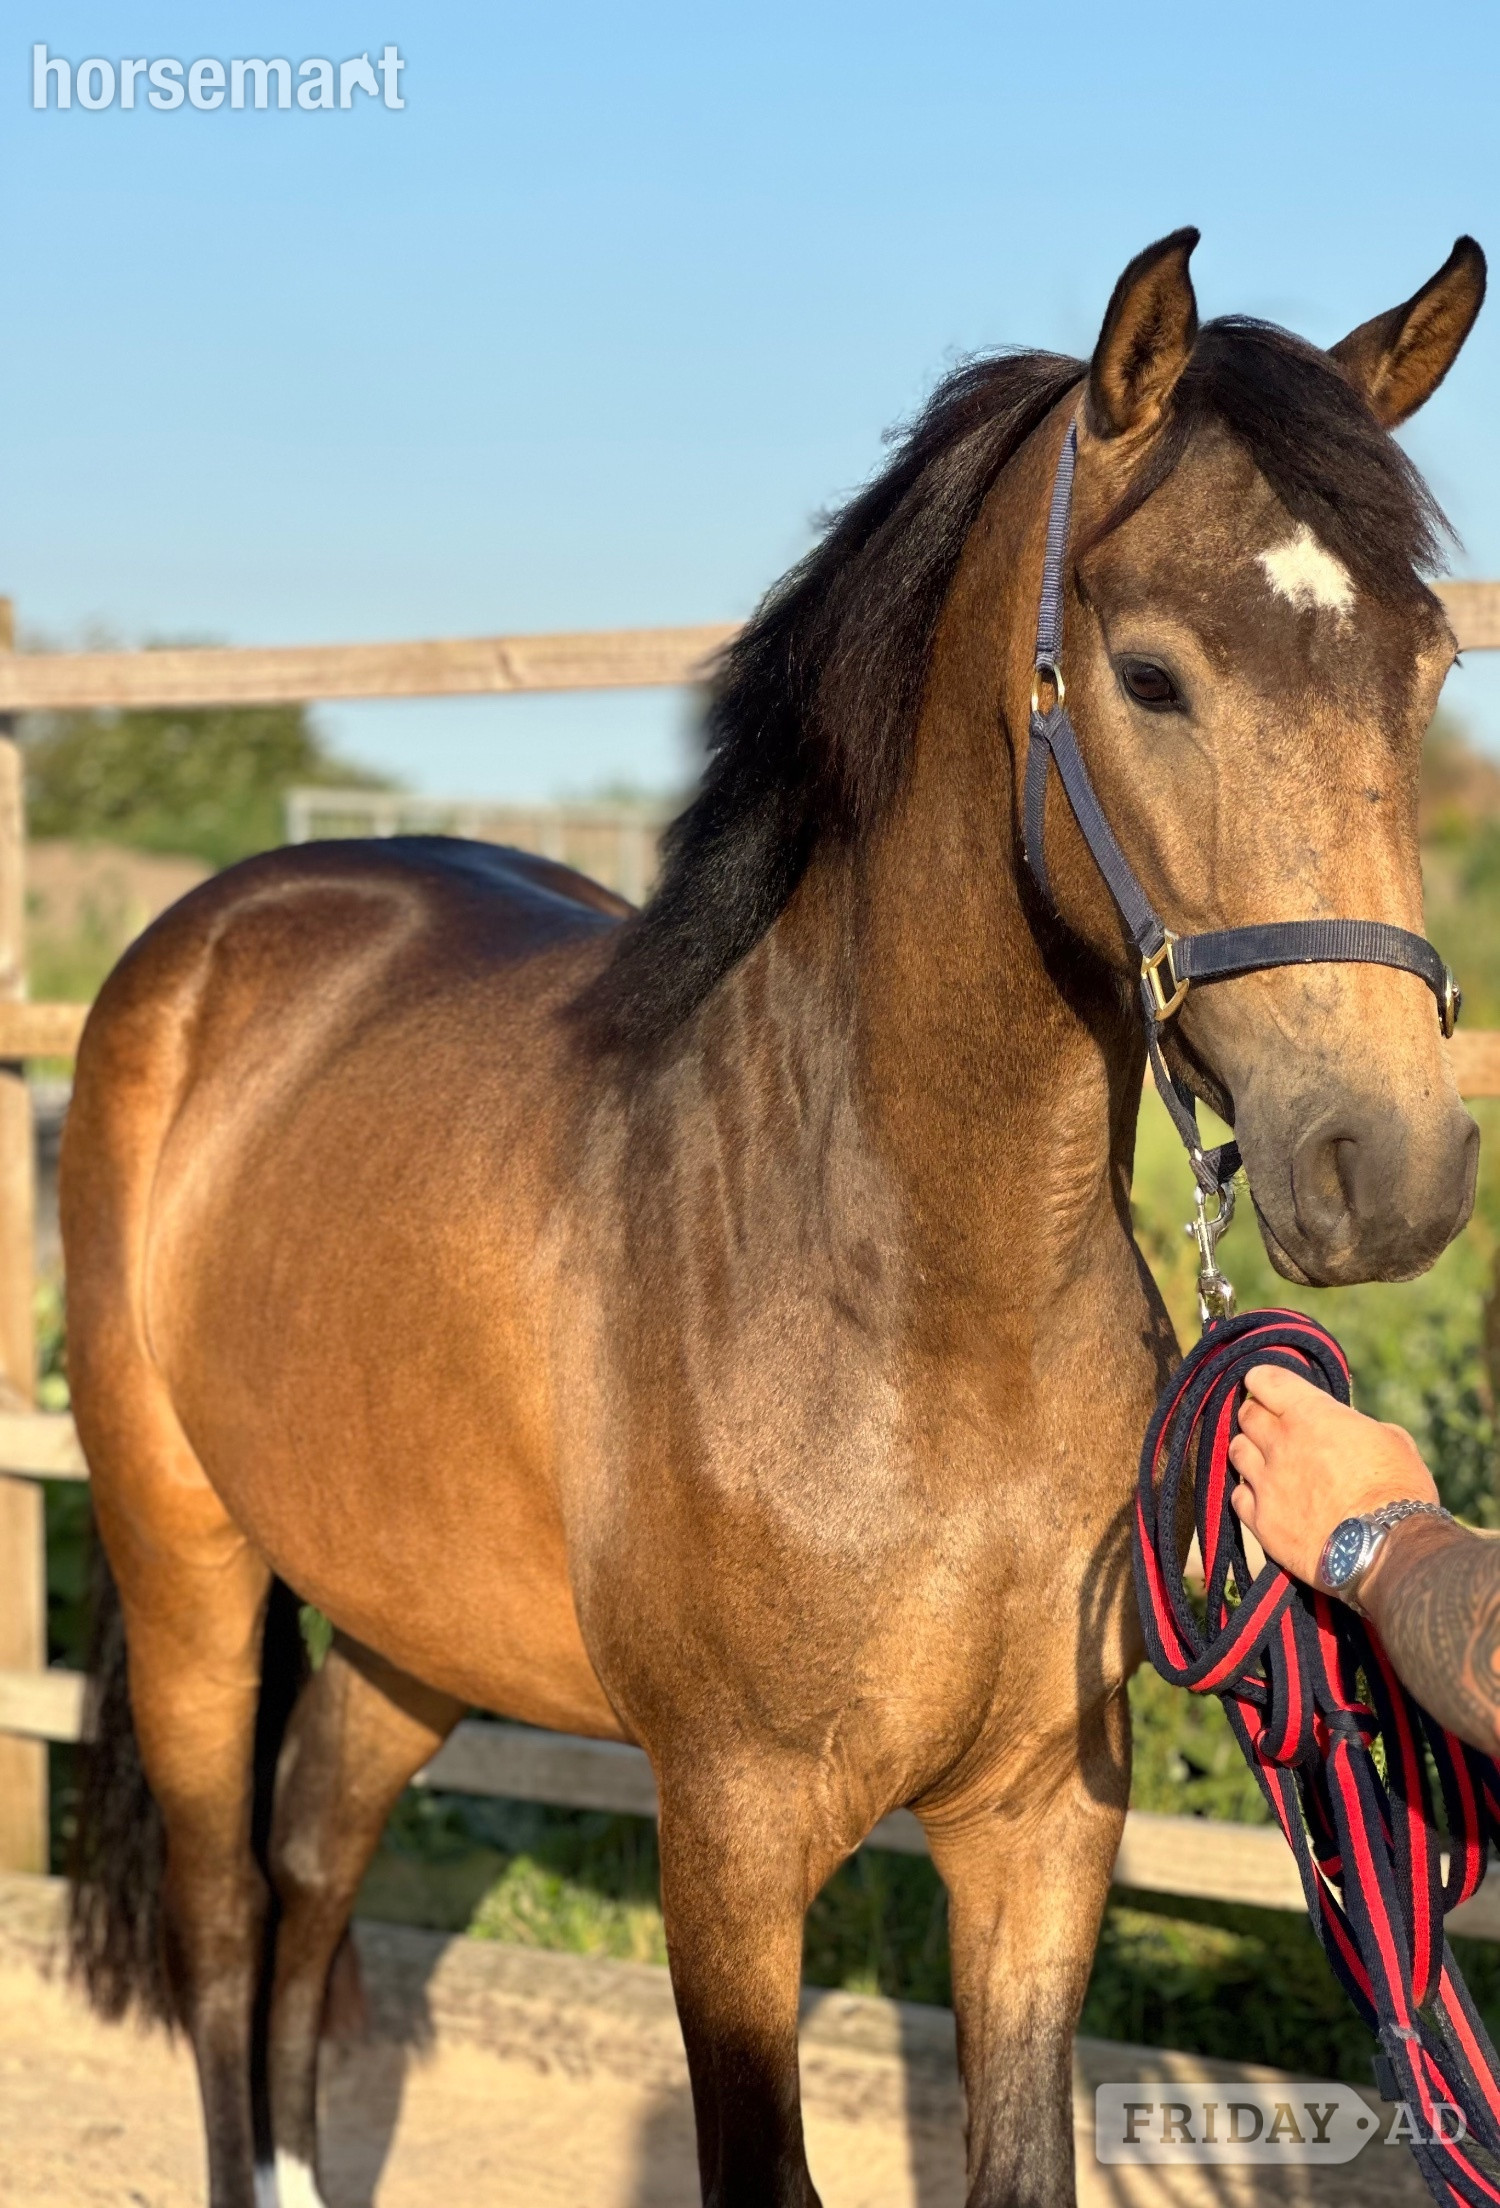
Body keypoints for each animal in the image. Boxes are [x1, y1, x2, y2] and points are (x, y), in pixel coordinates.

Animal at [64, 226, 1484, 2208]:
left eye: (1425, 665)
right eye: (1151, 675)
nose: (1389, 1165)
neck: (912, 1301)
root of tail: (216, 932)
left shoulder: (1041, 1820)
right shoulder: (730, 1847)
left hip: (408, 1619)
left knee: (312, 1852)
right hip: (180, 1547)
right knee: (215, 1914)